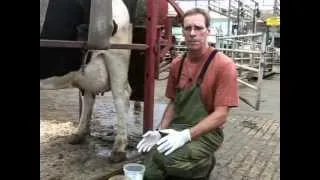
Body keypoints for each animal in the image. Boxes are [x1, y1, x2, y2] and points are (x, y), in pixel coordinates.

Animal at [41, 0, 132, 162]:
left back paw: (119, 149)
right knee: (89, 98)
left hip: (117, 57)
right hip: (86, 72)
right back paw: (79, 134)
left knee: (121, 97)